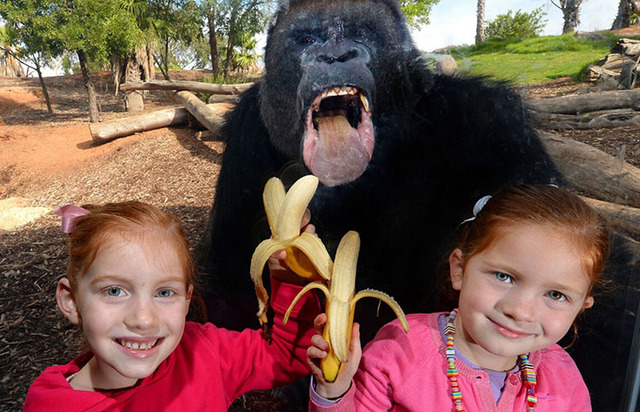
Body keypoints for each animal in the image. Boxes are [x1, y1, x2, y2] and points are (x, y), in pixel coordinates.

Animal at [198, 0, 636, 408]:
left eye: (361, 32)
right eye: (306, 38)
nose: (335, 56)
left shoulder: (490, 122)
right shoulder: (245, 137)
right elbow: (229, 280)